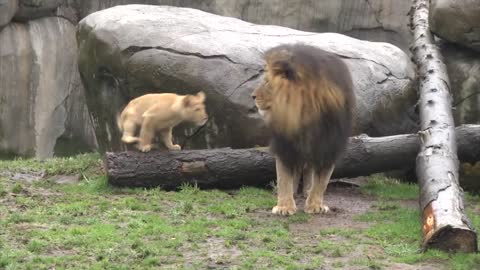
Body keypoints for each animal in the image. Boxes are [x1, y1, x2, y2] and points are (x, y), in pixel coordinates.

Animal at [253, 44, 354, 217]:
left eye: (267, 82)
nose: (252, 96)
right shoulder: (285, 145)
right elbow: (284, 177)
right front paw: (284, 207)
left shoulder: (330, 145)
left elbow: (322, 180)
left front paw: (315, 205)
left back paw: (307, 191)